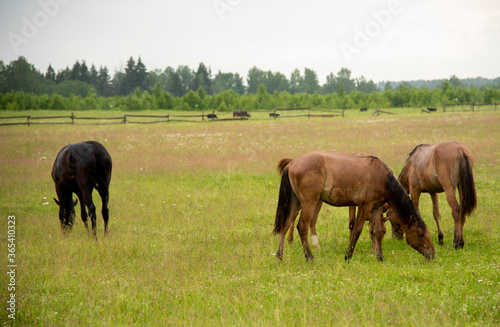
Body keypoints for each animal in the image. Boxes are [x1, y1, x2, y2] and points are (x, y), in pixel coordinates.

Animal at [276, 152, 436, 262]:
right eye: (420, 234)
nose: (433, 253)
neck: (383, 177)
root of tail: (293, 163)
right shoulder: (365, 206)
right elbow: (357, 230)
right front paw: (348, 255)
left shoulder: (376, 207)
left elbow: (377, 232)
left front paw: (380, 257)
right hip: (309, 203)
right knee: (302, 227)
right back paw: (309, 257)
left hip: (295, 203)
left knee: (285, 225)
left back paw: (279, 256)